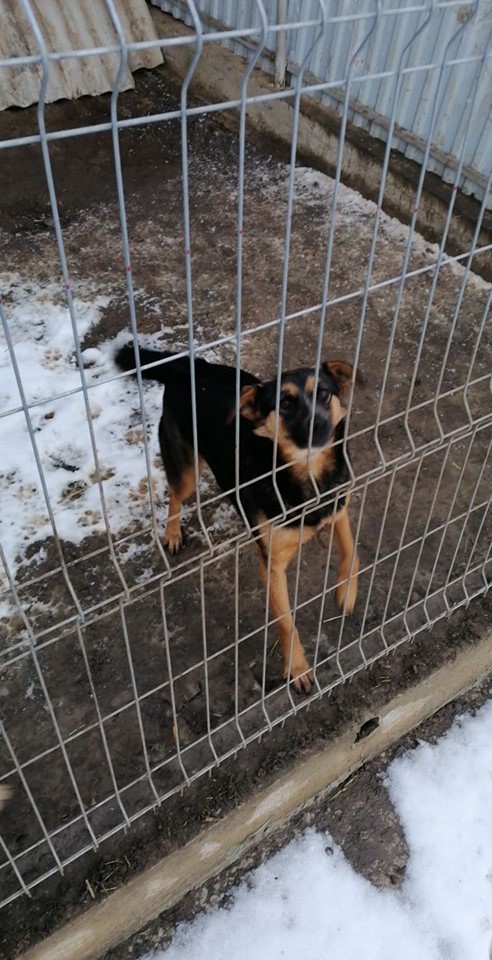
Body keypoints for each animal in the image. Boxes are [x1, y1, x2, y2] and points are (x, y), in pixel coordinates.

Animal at [115, 344, 362, 688]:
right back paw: (173, 532)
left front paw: (347, 592)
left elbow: (352, 552)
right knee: (175, 496)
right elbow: (286, 622)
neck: (307, 475)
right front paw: (297, 668)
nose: (318, 426)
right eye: (285, 403)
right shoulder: (271, 565)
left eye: (325, 394)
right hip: (186, 468)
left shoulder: (339, 508)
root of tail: (192, 365)